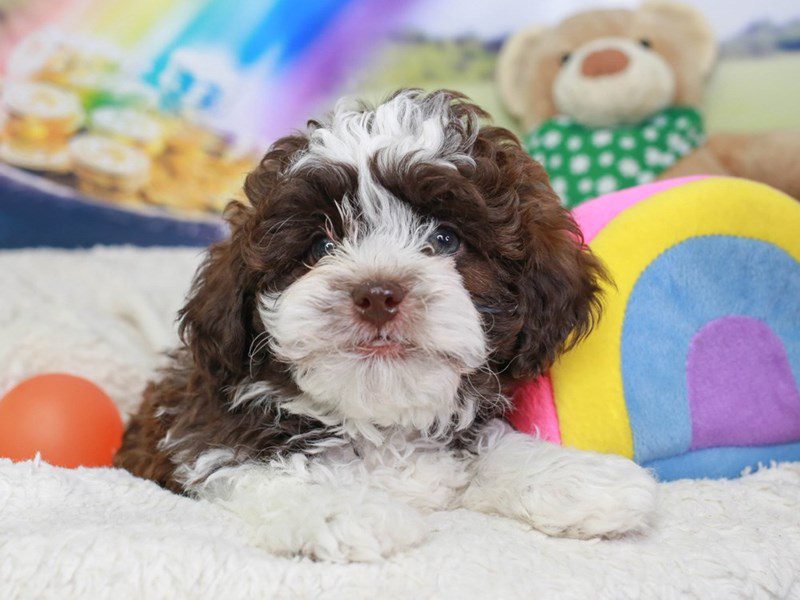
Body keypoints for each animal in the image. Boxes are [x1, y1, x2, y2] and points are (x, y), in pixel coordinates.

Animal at [117, 89, 656, 564]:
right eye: (319, 247)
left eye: (446, 238)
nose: (377, 295)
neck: (380, 423)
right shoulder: (203, 433)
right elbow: (264, 467)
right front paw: (342, 512)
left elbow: (489, 448)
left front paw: (580, 479)